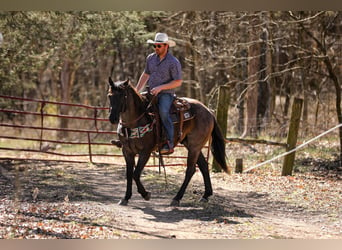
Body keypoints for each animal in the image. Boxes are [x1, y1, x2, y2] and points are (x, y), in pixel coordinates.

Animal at [107, 77, 230, 206]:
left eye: (123, 95)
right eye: (109, 95)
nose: (112, 118)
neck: (136, 120)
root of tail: (209, 112)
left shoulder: (145, 152)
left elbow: (136, 174)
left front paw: (146, 194)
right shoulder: (127, 151)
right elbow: (129, 174)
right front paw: (126, 197)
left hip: (194, 146)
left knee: (190, 170)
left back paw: (177, 198)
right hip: (191, 145)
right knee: (203, 166)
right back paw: (206, 195)